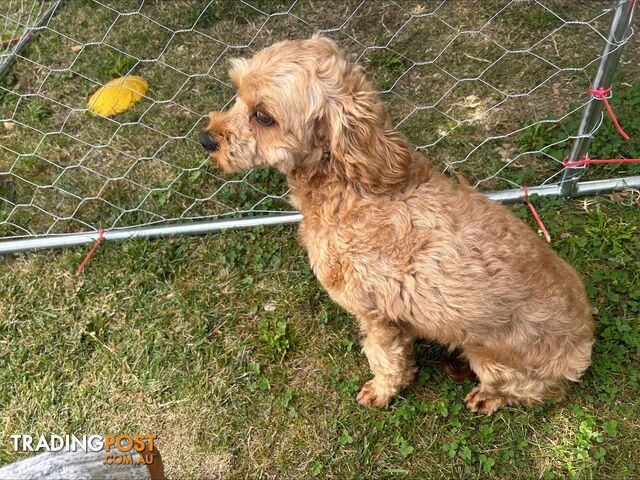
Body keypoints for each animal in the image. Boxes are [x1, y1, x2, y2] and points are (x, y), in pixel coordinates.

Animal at [200, 36, 596, 412]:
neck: (351, 186)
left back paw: (488, 396)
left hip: (497, 361)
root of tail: (585, 343)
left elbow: (386, 359)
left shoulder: (377, 315)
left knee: (530, 391)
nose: (207, 138)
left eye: (263, 116)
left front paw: (381, 391)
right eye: (237, 92)